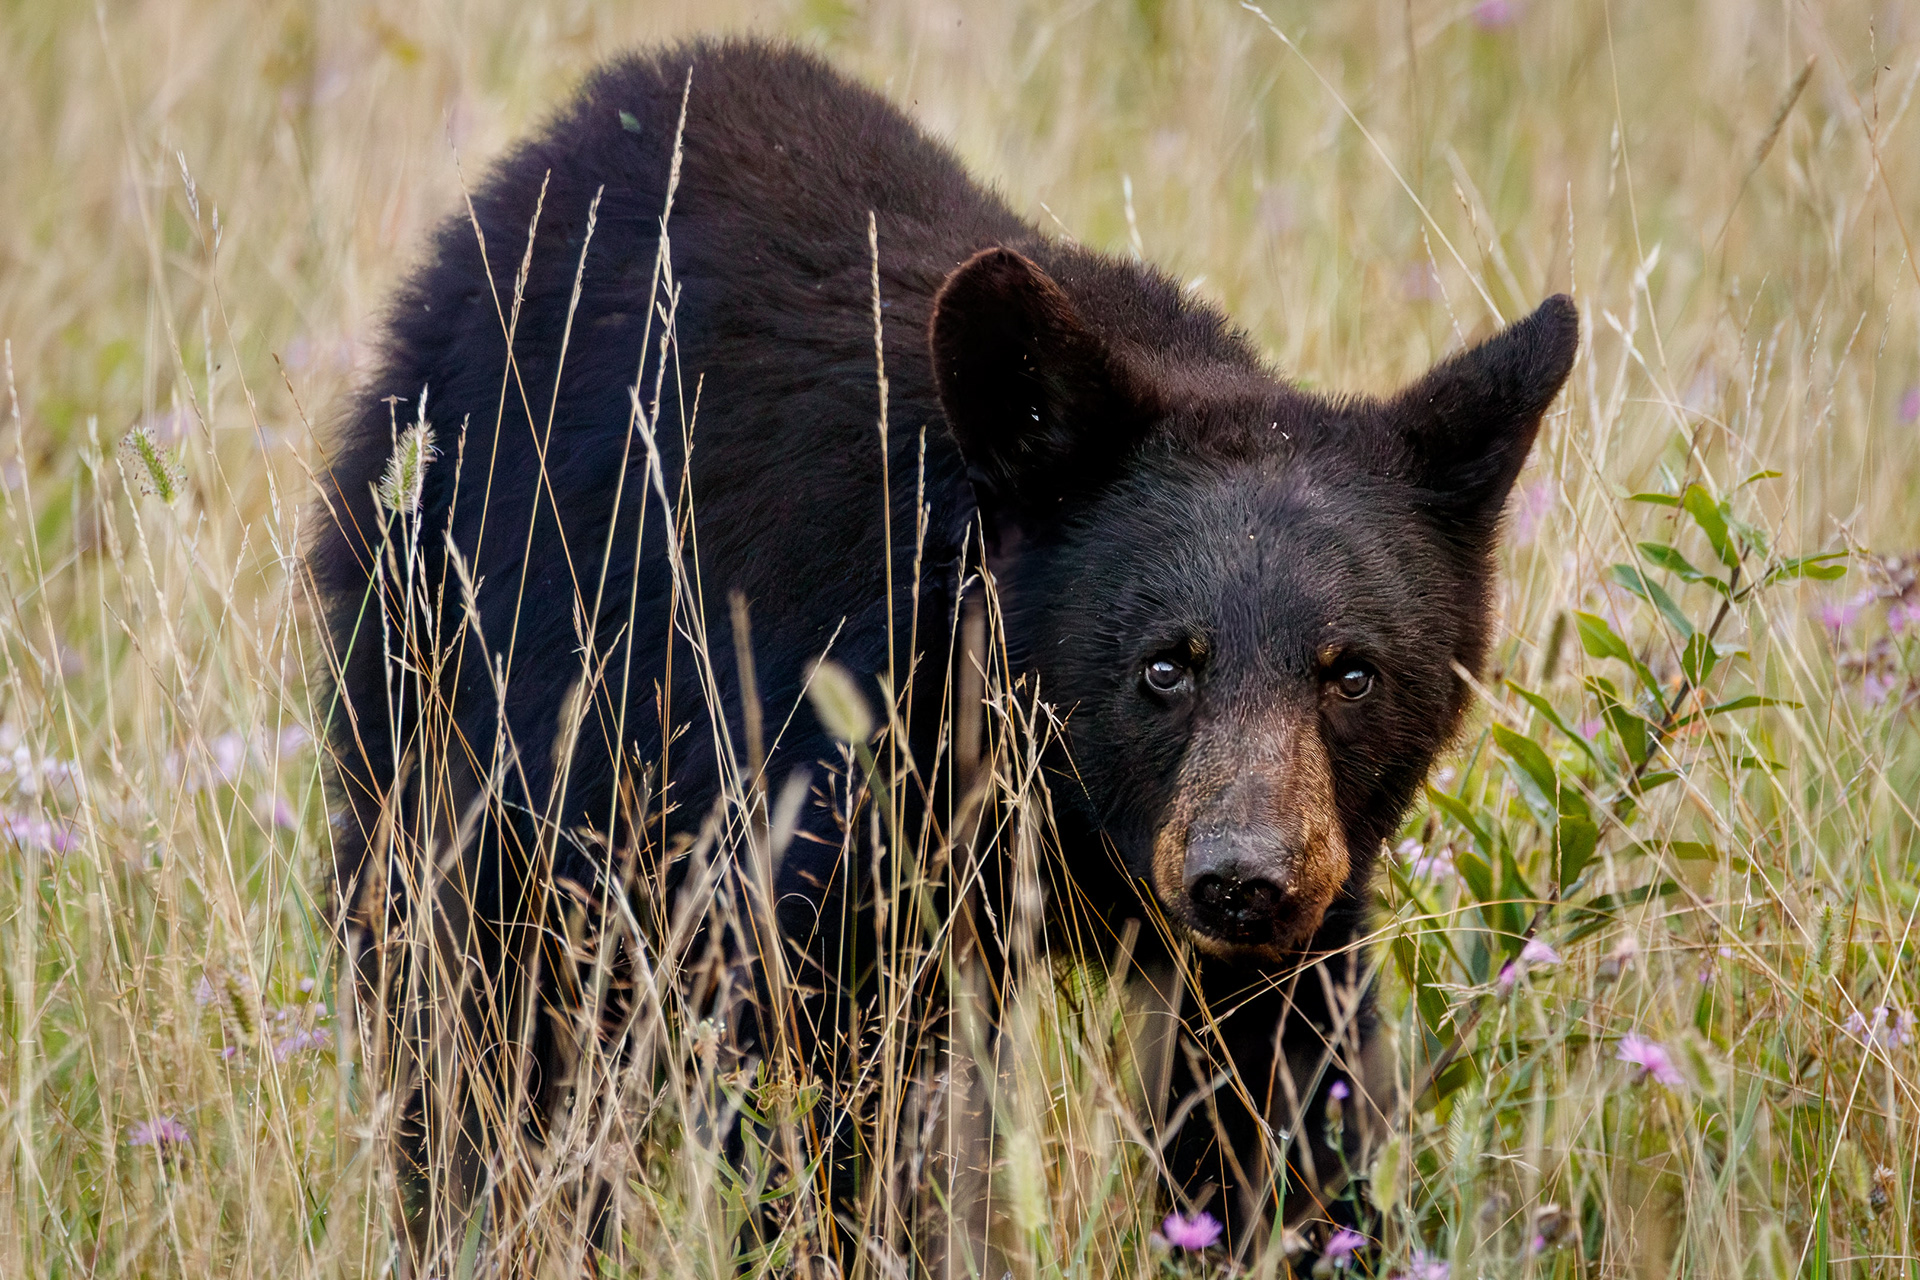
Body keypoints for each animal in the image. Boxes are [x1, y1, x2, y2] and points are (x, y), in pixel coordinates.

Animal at [311, 35, 1577, 1270]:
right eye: (1163, 665)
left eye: (1352, 669)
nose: (1243, 879)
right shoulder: (821, 785)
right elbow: (826, 1085)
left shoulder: (1291, 911)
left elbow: (1276, 1089)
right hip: (462, 680)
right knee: (468, 1000)